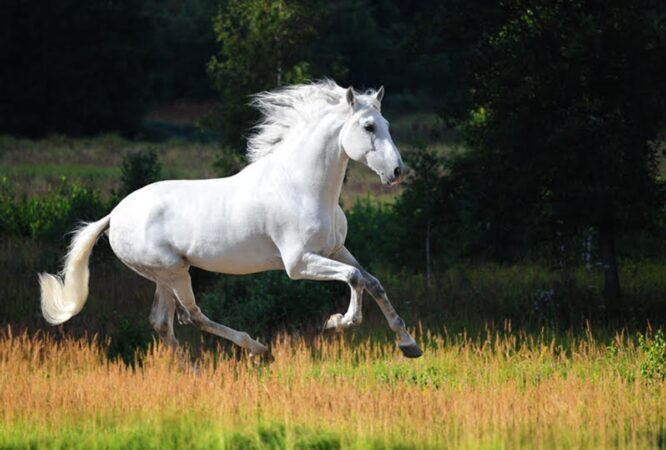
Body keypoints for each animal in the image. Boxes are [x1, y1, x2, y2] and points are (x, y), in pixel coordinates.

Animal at [39, 80, 423, 359]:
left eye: (387, 124)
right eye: (369, 126)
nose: (397, 172)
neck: (301, 185)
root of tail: (114, 215)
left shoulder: (335, 250)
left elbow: (372, 282)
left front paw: (409, 345)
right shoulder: (298, 263)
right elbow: (355, 278)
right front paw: (339, 322)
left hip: (164, 275)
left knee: (162, 323)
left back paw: (194, 372)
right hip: (173, 272)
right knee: (192, 315)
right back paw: (258, 350)